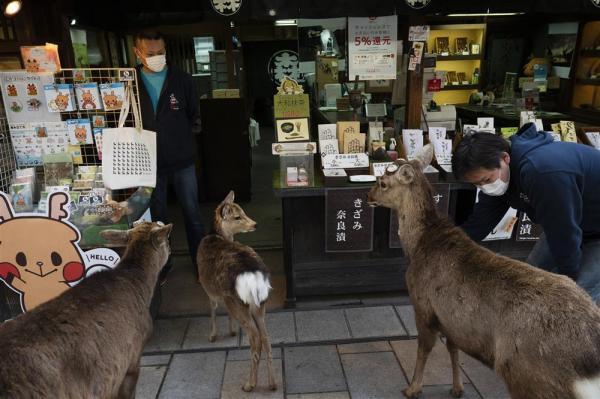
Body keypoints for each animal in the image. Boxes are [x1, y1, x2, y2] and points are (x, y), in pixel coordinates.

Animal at [199, 191, 278, 394]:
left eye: (242, 212)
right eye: (237, 216)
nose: (255, 224)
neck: (217, 236)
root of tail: (253, 276)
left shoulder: (209, 289)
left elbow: (212, 310)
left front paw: (213, 336)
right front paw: (232, 331)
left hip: (238, 302)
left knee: (255, 338)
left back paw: (249, 384)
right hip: (260, 304)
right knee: (266, 337)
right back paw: (272, 384)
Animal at [366, 146, 600, 399]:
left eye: (382, 183)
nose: (368, 196)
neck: (418, 246)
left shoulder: (423, 306)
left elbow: (424, 350)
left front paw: (412, 388)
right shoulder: (453, 320)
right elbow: (453, 349)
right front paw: (457, 388)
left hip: (528, 375)